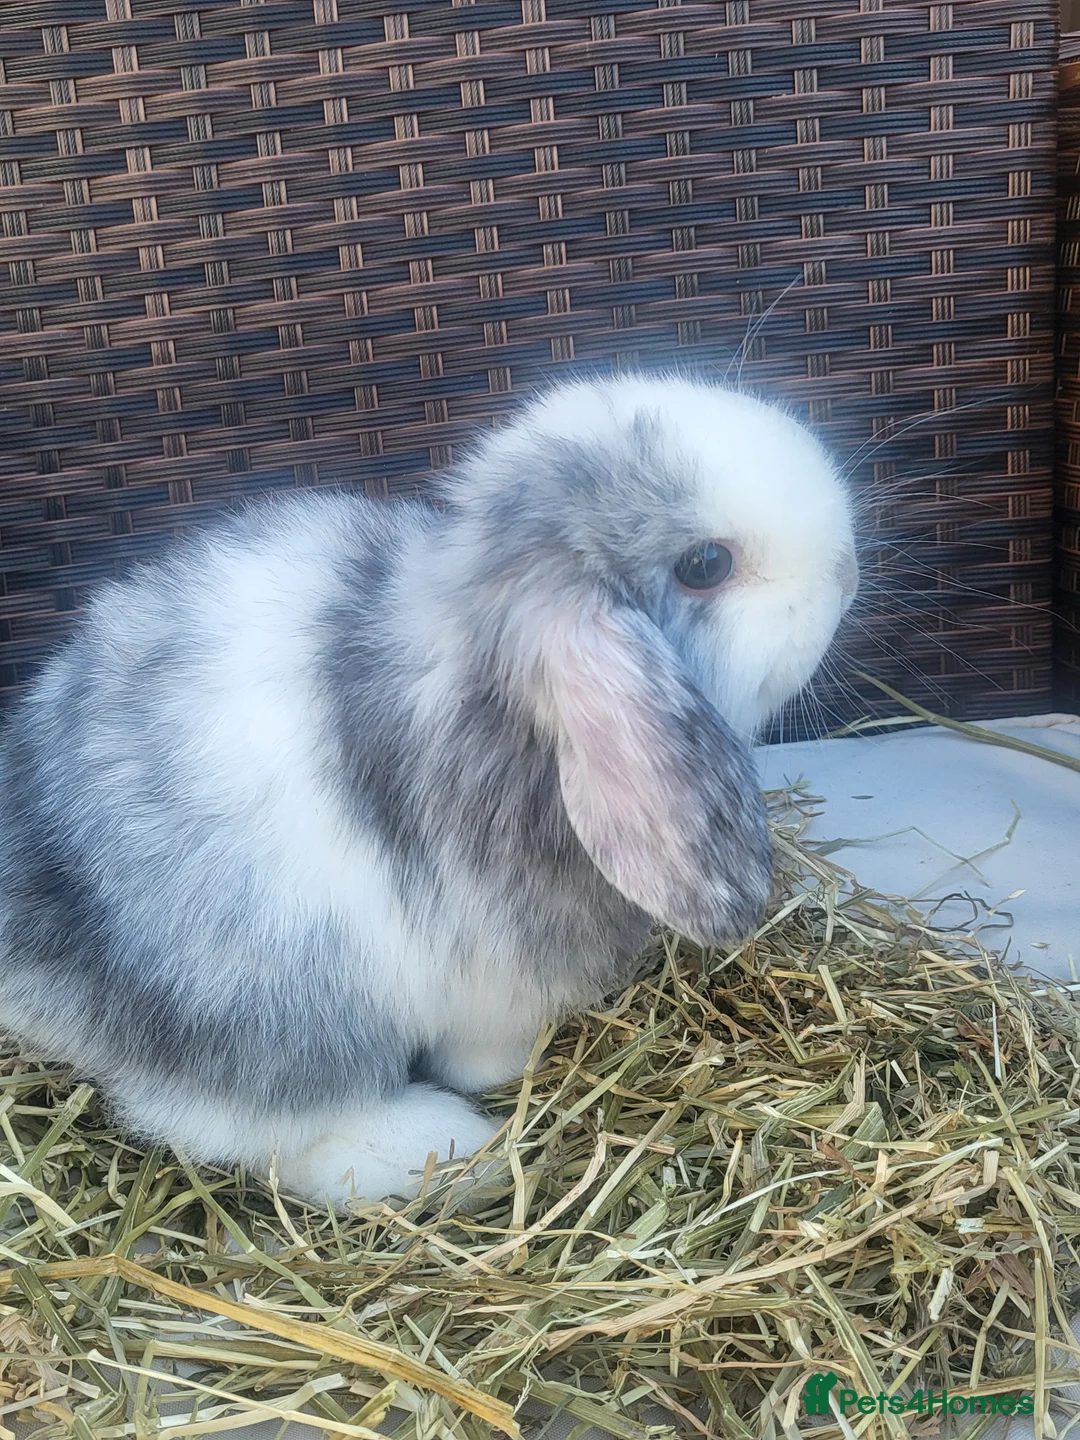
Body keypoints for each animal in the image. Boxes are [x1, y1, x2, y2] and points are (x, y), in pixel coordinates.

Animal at [0, 374, 858, 1210]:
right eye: (706, 565)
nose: (848, 565)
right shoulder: (498, 977)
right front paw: (498, 1073)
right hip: (277, 1013)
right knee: (236, 1126)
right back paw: (453, 1154)